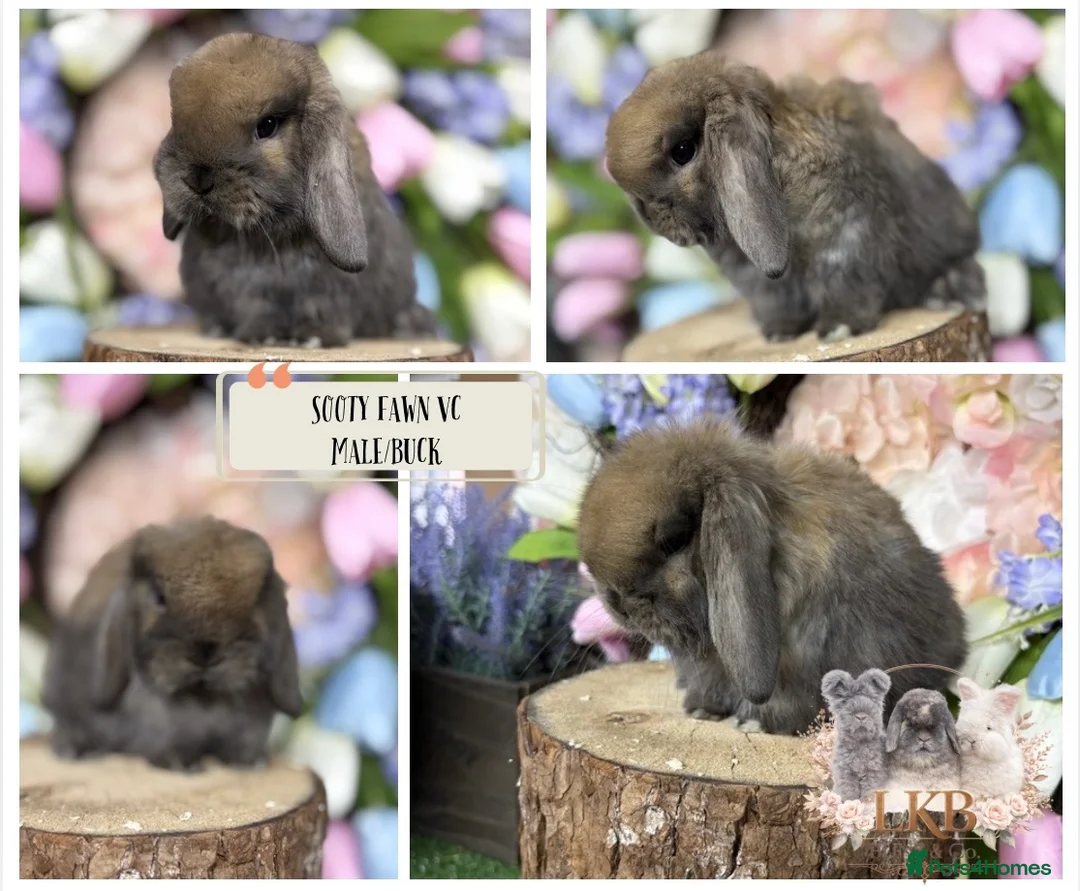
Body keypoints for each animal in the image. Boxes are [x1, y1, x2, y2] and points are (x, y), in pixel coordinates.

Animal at [42, 517, 302, 771]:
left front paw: (251, 762)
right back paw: (74, 750)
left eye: (256, 600)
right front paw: (181, 765)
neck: (203, 696)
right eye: (159, 597)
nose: (206, 653)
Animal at [153, 32, 436, 347]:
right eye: (176, 120)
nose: (198, 179)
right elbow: (255, 308)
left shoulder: (328, 289)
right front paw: (260, 335)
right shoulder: (247, 289)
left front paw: (313, 337)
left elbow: (323, 311)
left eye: (267, 125)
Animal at [604, 51, 985, 343]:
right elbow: (777, 299)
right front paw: (779, 334)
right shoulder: (759, 278)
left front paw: (838, 329)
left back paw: (948, 295)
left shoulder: (846, 236)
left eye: (683, 151)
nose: (650, 216)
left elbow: (844, 284)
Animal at [822, 668, 891, 801]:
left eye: (871, 699)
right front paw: (851, 802)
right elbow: (850, 793)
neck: (860, 744)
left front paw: (867, 803)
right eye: (845, 701)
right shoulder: (846, 774)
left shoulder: (874, 773)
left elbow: (869, 792)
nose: (861, 716)